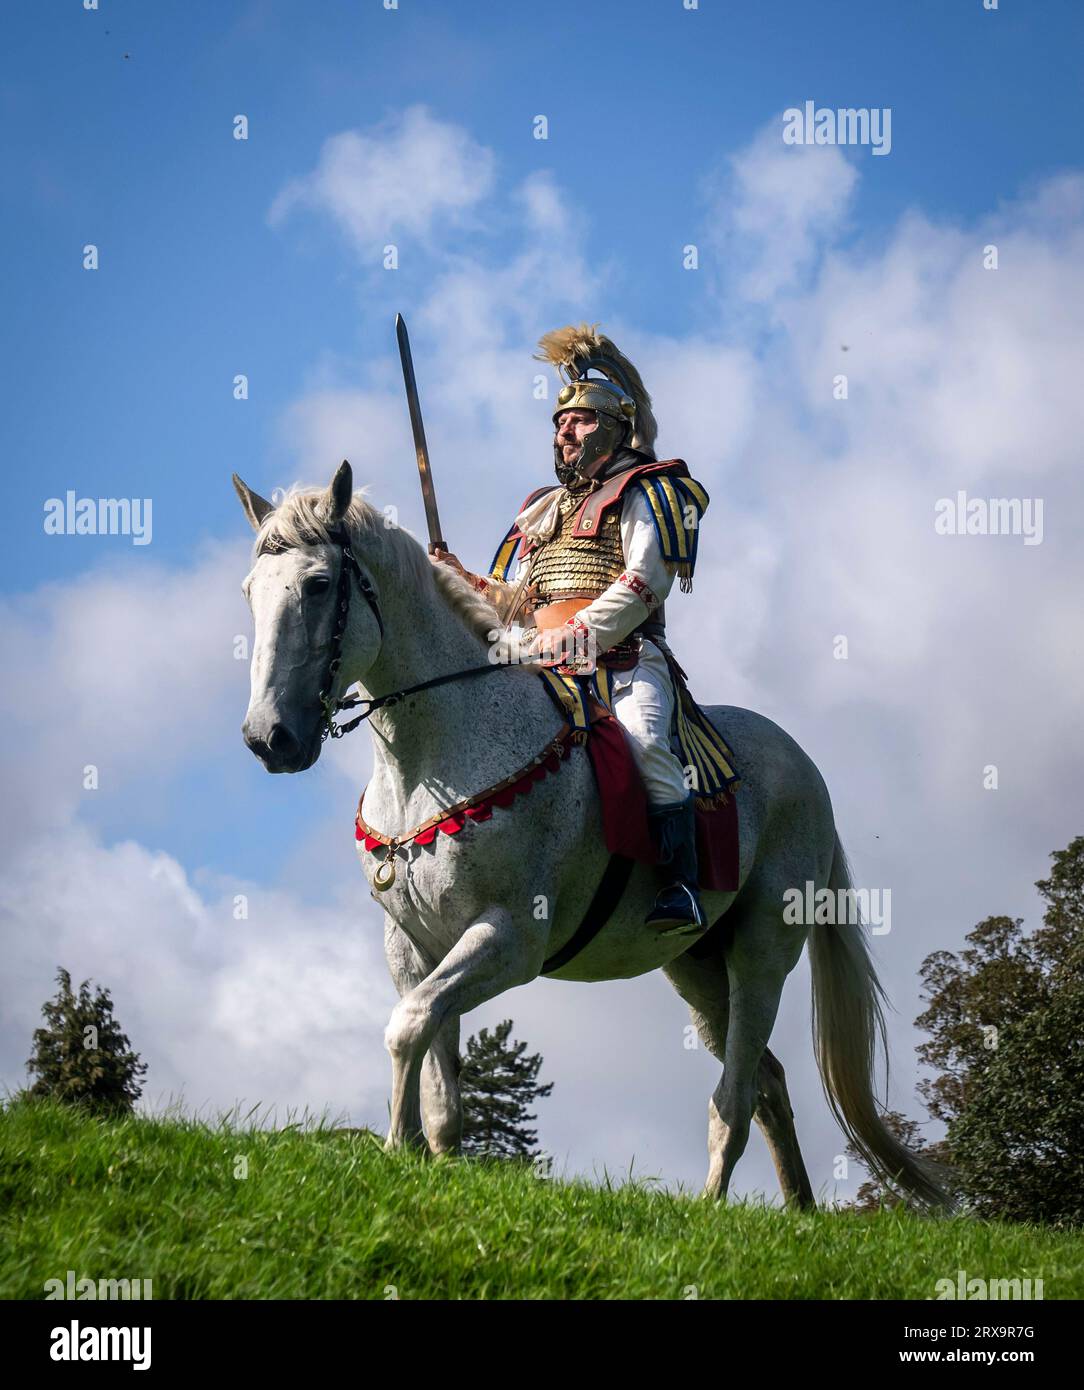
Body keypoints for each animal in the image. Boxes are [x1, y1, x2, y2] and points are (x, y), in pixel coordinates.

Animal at [234, 461, 950, 1212]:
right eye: (252, 591)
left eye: (319, 584)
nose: (269, 739)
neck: (433, 758)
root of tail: (806, 770)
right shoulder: (413, 946)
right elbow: (435, 1069)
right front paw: (428, 1160)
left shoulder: (508, 940)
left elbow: (406, 1028)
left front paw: (396, 1152)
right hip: (697, 966)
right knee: (768, 1082)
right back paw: (799, 1211)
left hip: (762, 952)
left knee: (735, 1093)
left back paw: (712, 1209)